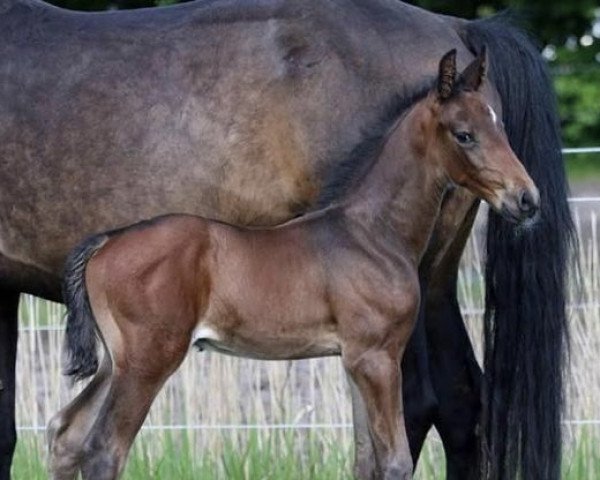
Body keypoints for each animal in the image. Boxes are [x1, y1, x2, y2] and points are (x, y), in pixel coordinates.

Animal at [0, 0, 572, 480]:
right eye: (464, 134)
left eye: (499, 124)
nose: (526, 198)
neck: (367, 230)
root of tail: (103, 244)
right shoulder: (373, 356)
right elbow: (390, 461)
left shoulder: (360, 357)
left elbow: (371, 460)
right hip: (143, 361)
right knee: (98, 448)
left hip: (121, 363)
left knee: (71, 436)